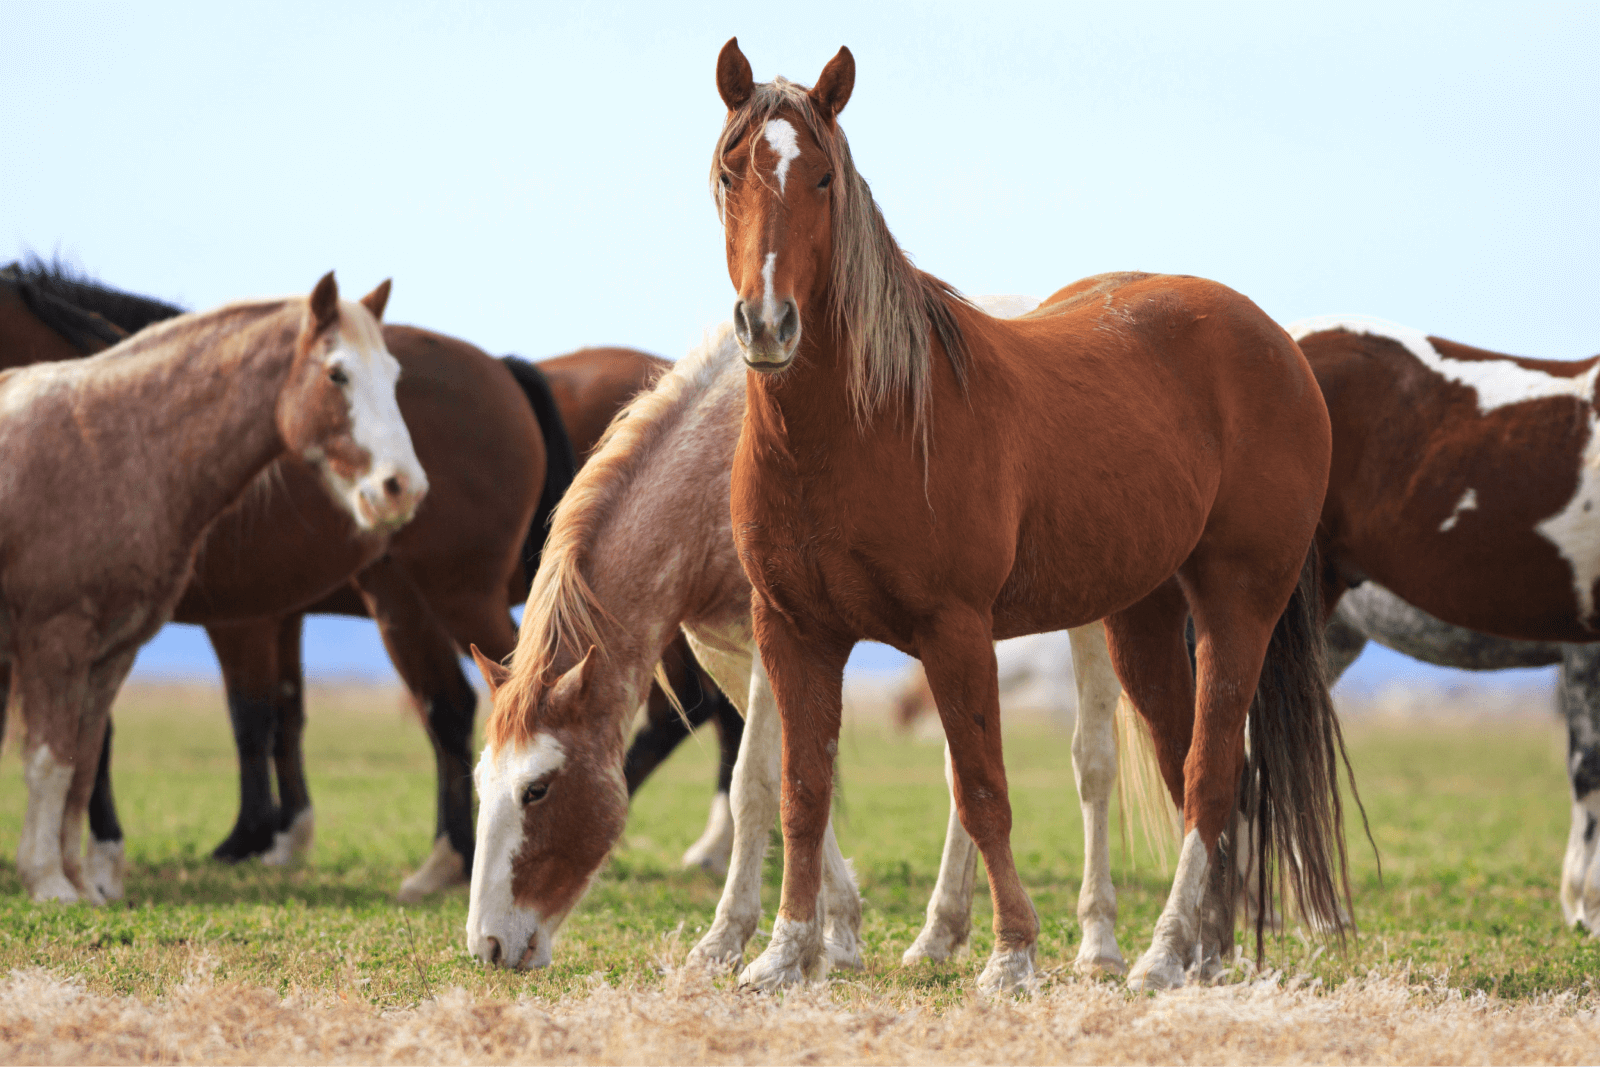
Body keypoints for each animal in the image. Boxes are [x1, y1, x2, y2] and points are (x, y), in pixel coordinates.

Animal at [0, 273, 425, 902]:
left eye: (394, 376)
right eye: (336, 374)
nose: (402, 488)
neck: (109, 450)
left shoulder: (111, 653)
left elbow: (81, 764)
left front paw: (81, 883)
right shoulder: (55, 641)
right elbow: (51, 763)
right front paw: (50, 883)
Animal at [707, 39, 1356, 991]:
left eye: (824, 177)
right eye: (730, 172)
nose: (767, 323)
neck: (868, 423)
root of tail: (1278, 343)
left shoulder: (956, 629)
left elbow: (984, 792)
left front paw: (1011, 952)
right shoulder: (794, 630)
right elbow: (803, 792)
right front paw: (785, 954)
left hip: (1240, 604)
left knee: (1208, 777)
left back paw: (1160, 954)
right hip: (1142, 619)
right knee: (1188, 768)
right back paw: (1201, 952)